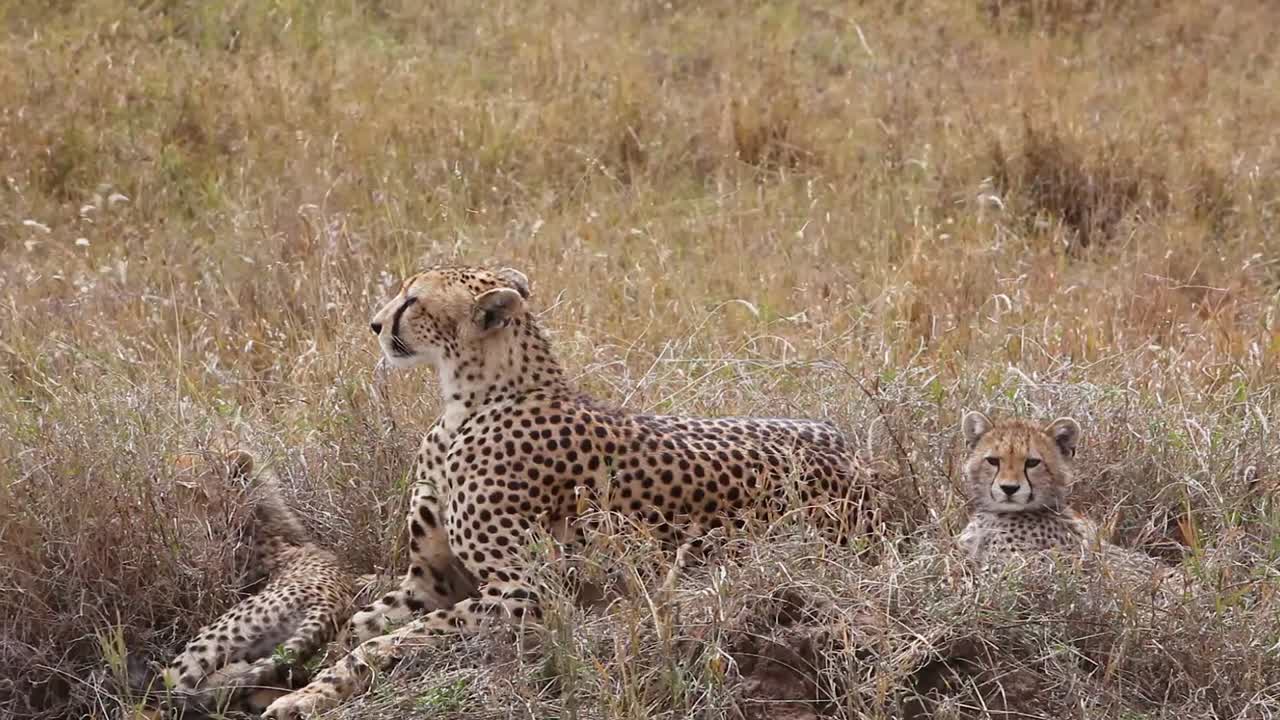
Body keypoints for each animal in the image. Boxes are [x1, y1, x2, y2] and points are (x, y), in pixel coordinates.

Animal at [261, 264, 883, 718]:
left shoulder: (527, 592)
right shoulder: (429, 582)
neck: (470, 400)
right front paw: (300, 683)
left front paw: (309, 692)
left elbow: (385, 641)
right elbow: (358, 626)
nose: (373, 324)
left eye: (412, 300)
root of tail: (854, 455)